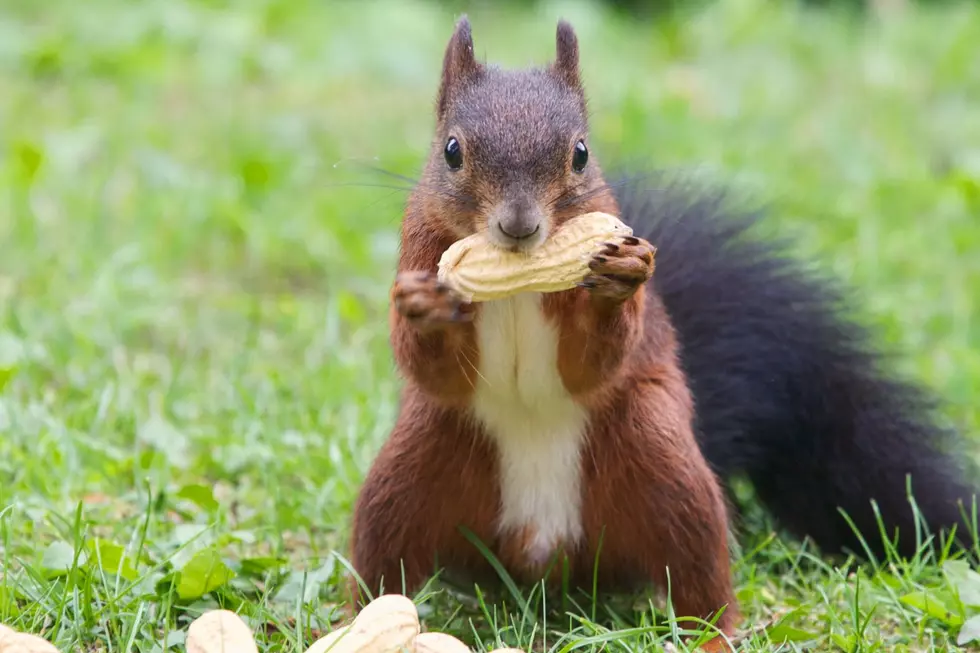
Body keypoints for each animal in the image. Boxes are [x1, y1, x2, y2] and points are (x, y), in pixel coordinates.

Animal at [348, 12, 976, 648]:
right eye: (451, 151)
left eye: (581, 154)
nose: (519, 226)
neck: (519, 282)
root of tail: (544, 558)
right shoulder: (419, 248)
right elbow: (437, 370)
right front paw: (424, 306)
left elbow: (592, 363)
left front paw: (618, 281)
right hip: (413, 470)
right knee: (384, 557)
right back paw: (362, 621)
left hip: (662, 464)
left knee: (698, 566)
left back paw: (713, 632)